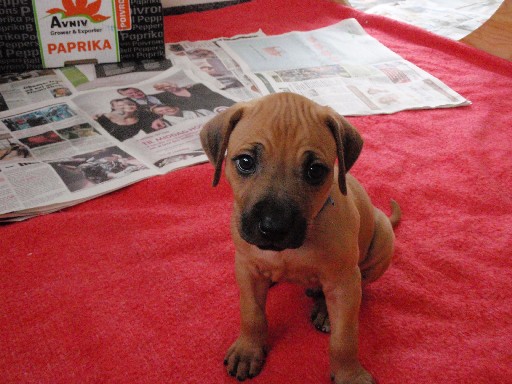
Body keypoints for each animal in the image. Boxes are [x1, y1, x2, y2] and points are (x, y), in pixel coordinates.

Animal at [200, 93, 400, 384]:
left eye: (315, 170)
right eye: (245, 162)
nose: (273, 227)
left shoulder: (344, 281)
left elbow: (345, 337)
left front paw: (349, 374)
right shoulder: (246, 268)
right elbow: (251, 313)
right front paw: (248, 349)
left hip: (381, 238)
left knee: (360, 282)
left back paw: (325, 310)